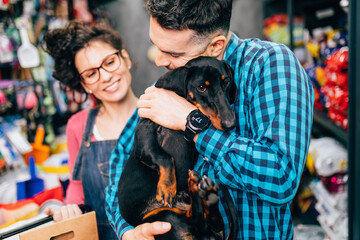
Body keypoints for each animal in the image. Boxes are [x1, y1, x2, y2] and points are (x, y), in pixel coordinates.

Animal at [116, 56, 238, 240]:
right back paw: (199, 189)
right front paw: (167, 187)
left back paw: (203, 191)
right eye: (201, 87)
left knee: (208, 223)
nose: (230, 124)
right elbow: (165, 157)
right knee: (197, 221)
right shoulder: (144, 139)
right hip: (163, 217)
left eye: (226, 82)